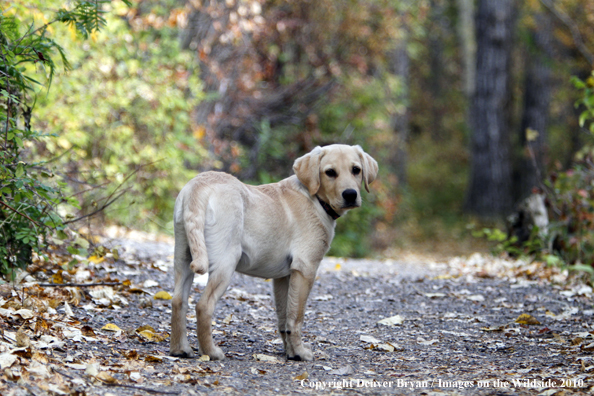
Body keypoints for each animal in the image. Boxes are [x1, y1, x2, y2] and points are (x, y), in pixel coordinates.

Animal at [169, 144, 376, 360]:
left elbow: (284, 318)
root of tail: (198, 186)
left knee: (178, 301)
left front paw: (290, 352)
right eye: (330, 172)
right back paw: (211, 352)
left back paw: (180, 349)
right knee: (203, 306)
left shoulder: (283, 277)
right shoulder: (305, 269)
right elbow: (296, 317)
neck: (315, 199)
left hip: (183, 258)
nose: (350, 194)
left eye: (356, 170)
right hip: (225, 262)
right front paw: (300, 353)